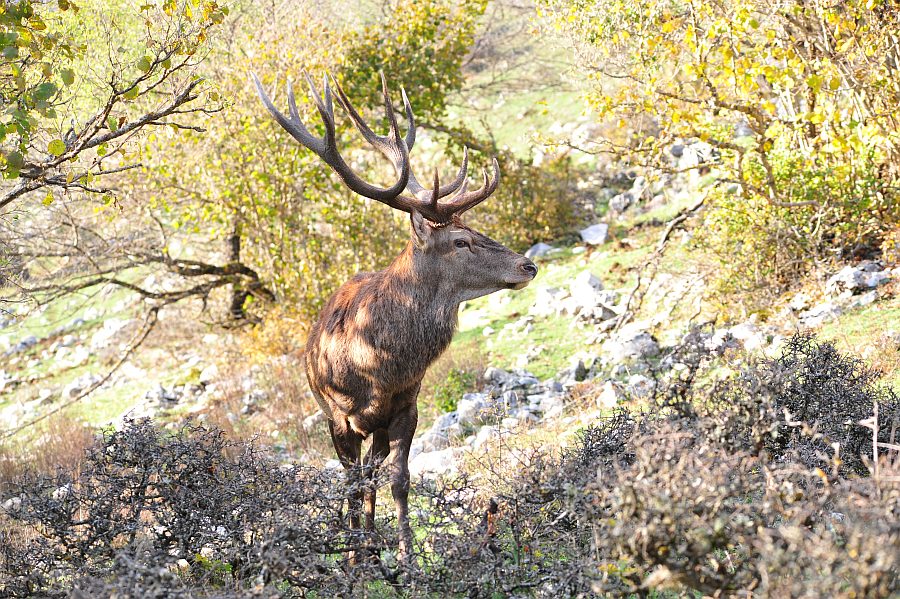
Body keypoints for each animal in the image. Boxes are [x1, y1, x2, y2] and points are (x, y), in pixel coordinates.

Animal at [250, 70, 536, 564]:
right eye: (461, 241)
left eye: (475, 229)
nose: (527, 265)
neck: (379, 365)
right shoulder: (339, 418)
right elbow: (348, 483)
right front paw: (351, 559)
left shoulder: (407, 406)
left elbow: (399, 482)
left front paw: (406, 557)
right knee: (357, 476)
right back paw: (360, 547)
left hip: (379, 428)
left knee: (372, 472)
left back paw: (371, 542)